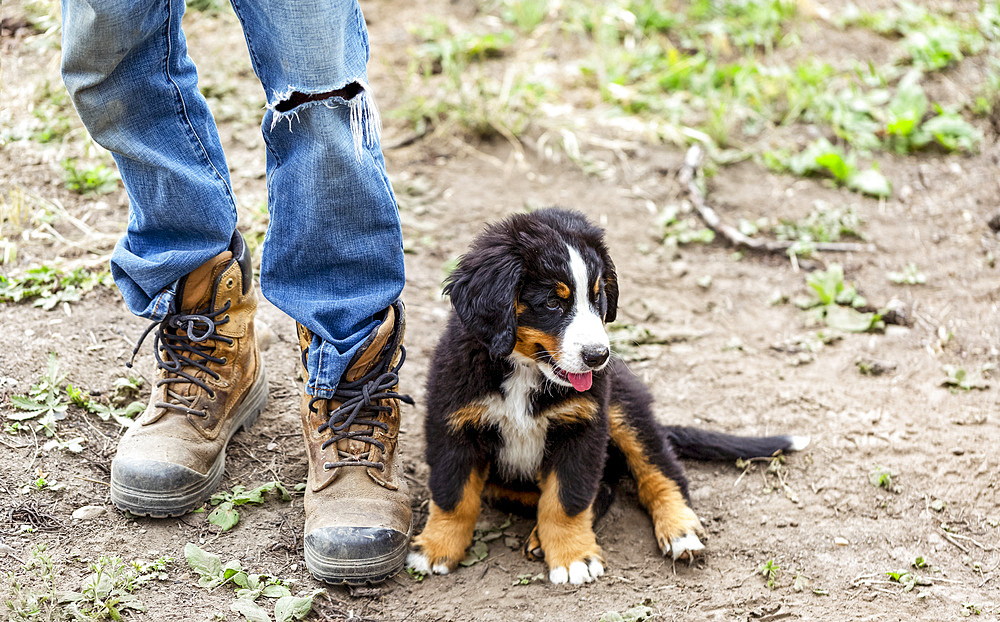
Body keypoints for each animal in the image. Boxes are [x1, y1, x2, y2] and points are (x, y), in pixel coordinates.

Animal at [402, 208, 808, 584]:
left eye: (599, 297)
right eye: (552, 303)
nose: (599, 357)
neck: (525, 372)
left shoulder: (583, 425)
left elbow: (567, 498)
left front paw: (572, 557)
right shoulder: (454, 423)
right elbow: (453, 496)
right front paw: (437, 548)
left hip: (624, 407)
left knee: (660, 471)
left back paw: (679, 531)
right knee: (603, 487)